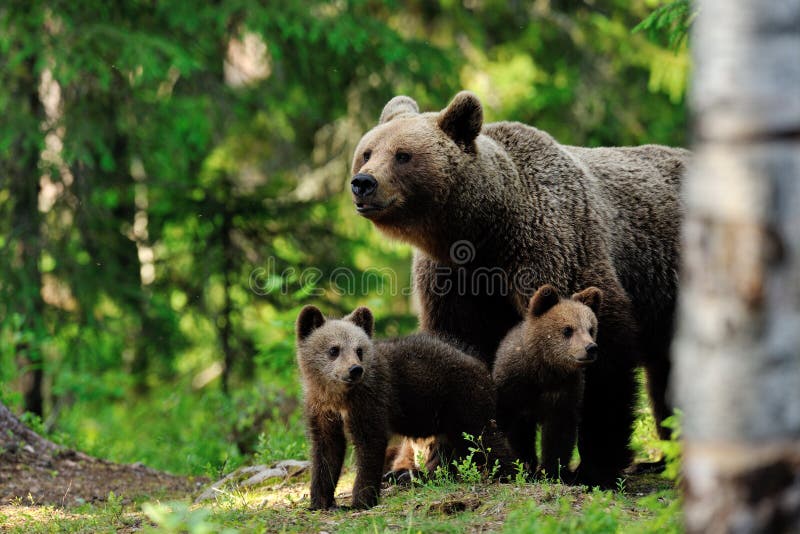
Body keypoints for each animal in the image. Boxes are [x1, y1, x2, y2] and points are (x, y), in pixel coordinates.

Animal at [350, 93, 688, 490]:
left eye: (403, 155)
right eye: (367, 151)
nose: (363, 182)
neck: (483, 232)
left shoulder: (552, 249)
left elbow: (604, 360)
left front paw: (595, 468)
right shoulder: (454, 281)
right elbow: (458, 355)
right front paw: (440, 463)